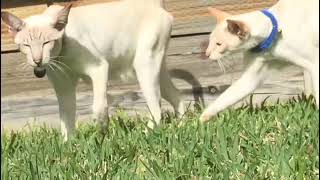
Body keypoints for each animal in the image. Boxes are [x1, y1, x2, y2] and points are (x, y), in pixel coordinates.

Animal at [0, 0, 185, 141]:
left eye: (47, 43)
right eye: (26, 45)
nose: (37, 61)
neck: (63, 56)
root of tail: (155, 4)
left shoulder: (99, 68)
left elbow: (99, 105)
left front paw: (101, 128)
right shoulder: (63, 87)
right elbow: (66, 118)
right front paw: (68, 147)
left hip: (144, 66)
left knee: (156, 106)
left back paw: (147, 134)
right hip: (156, 69)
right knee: (176, 96)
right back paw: (181, 125)